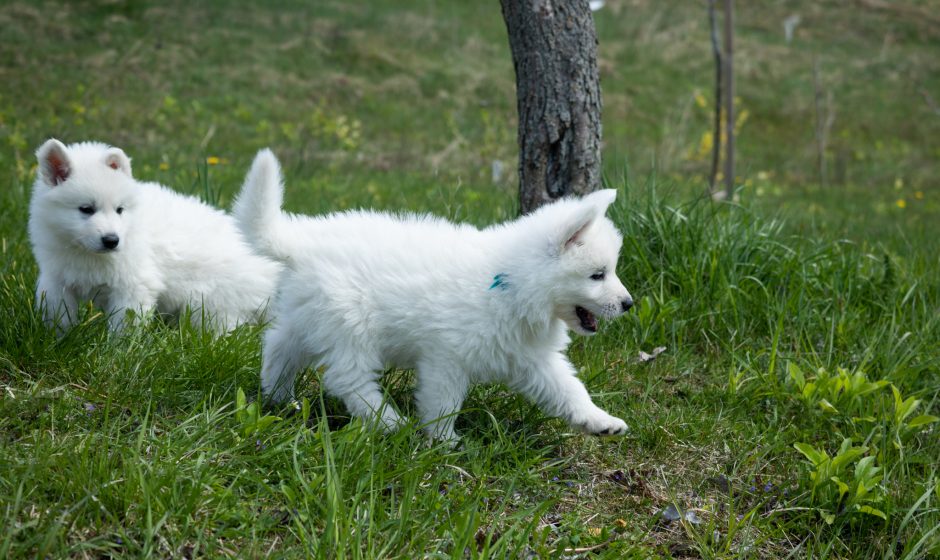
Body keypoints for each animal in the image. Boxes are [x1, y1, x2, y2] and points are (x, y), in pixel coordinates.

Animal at [27, 139, 280, 332]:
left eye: (120, 210)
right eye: (86, 209)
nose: (112, 240)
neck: (86, 253)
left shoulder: (134, 286)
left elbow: (123, 328)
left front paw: (117, 355)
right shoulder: (56, 279)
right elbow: (59, 315)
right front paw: (58, 341)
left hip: (215, 306)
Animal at [234, 150, 632, 442]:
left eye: (611, 270)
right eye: (598, 275)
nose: (628, 304)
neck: (510, 283)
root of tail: (301, 242)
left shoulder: (534, 358)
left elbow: (569, 389)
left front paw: (599, 420)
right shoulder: (446, 358)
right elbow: (443, 402)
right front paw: (444, 442)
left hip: (308, 317)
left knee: (278, 345)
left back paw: (278, 395)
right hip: (350, 323)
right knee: (347, 377)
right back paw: (388, 421)